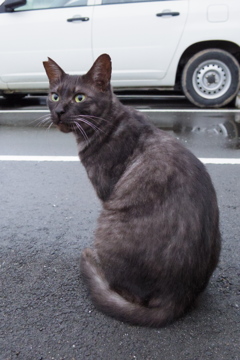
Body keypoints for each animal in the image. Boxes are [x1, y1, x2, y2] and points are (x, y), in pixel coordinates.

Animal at [43, 54, 221, 328]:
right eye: (54, 96)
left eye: (79, 98)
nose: (59, 111)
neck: (107, 123)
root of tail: (177, 297)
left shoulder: (106, 189)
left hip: (107, 221)